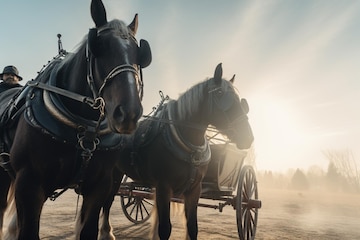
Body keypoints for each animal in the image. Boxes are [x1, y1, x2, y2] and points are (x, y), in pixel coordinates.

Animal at [0, 0, 151, 239]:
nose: (128, 113)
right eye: (99, 47)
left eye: (139, 55)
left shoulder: (99, 185)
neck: (84, 127)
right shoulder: (29, 183)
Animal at [100, 63, 255, 240]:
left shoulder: (194, 190)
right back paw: (106, 232)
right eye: (220, 93)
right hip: (113, 173)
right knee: (107, 200)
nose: (248, 137)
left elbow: (193, 227)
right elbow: (165, 228)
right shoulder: (164, 187)